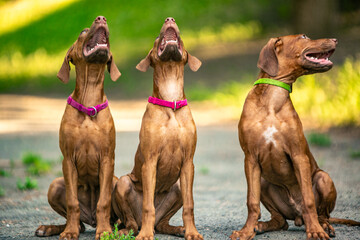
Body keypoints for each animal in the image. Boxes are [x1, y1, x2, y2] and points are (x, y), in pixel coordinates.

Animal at [35, 15, 121, 239]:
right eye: (83, 31)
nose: (101, 18)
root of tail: (89, 218)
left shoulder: (107, 158)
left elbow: (103, 202)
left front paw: (104, 231)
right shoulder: (68, 159)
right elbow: (72, 202)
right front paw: (69, 232)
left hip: (116, 181)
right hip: (55, 185)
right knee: (79, 222)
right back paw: (52, 228)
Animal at [111, 17, 204, 240]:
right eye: (156, 38)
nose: (170, 19)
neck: (170, 101)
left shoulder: (188, 163)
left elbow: (190, 205)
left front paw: (192, 232)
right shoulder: (150, 162)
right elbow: (147, 206)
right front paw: (145, 235)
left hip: (177, 187)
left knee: (162, 223)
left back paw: (177, 229)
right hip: (123, 183)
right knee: (133, 220)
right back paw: (134, 229)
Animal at [231, 34, 360, 240]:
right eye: (304, 37)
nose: (335, 39)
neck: (272, 100)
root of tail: (297, 216)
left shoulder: (299, 155)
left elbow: (308, 200)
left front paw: (315, 231)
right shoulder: (250, 158)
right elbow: (252, 202)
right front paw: (246, 231)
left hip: (323, 177)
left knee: (321, 214)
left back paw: (323, 226)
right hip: (263, 182)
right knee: (281, 221)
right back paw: (261, 226)